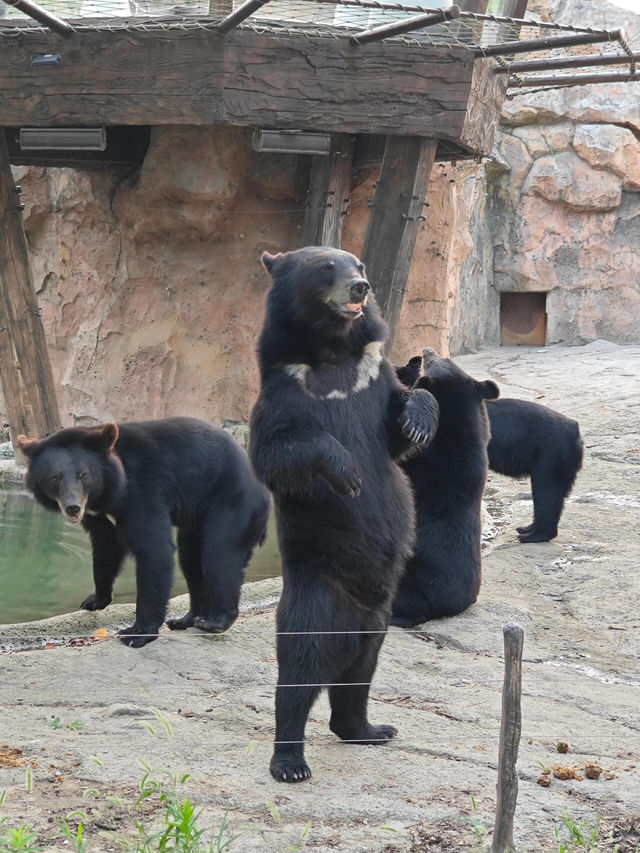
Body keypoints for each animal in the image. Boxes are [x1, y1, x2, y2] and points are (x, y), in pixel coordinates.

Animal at [16, 418, 268, 644]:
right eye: (54, 477)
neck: (109, 490)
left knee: (220, 554)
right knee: (190, 558)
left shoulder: (144, 490)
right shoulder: (96, 512)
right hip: (197, 517)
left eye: (84, 475)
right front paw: (94, 599)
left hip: (230, 501)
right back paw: (185, 620)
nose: (73, 507)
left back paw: (215, 621)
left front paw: (137, 633)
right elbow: (106, 544)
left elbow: (153, 549)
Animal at [250, 245, 440, 780]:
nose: (361, 286)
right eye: (325, 268)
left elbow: (404, 416)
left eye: (357, 263)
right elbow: (275, 451)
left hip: (379, 619)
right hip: (315, 597)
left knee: (359, 675)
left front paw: (418, 421)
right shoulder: (287, 391)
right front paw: (347, 472)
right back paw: (290, 760)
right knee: (298, 674)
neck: (333, 355)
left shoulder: (372, 377)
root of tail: (351, 616)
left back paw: (369, 729)